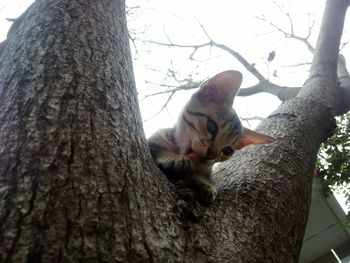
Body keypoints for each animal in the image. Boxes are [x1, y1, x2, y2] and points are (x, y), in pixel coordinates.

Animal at [148, 70, 274, 206]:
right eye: (211, 126)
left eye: (227, 151)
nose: (211, 155)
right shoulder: (154, 139)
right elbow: (158, 148)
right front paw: (172, 159)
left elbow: (203, 175)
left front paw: (206, 184)